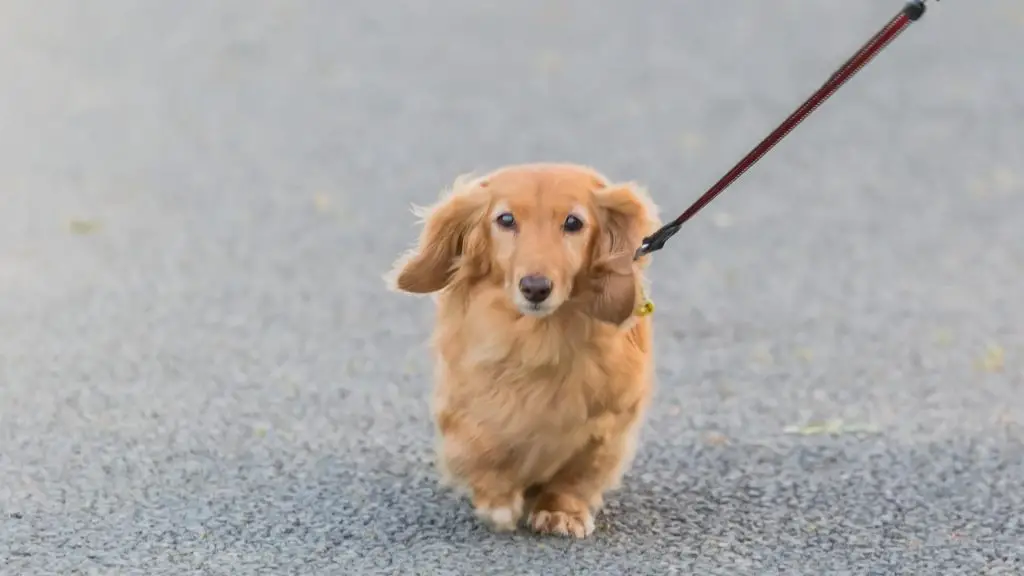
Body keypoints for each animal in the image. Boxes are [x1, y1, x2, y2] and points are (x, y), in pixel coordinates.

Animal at [385, 162, 663, 537]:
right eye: (506, 219)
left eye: (573, 222)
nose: (535, 288)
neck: (539, 340)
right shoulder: (466, 399)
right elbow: (481, 442)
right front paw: (497, 500)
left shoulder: (609, 422)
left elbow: (578, 472)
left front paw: (562, 512)